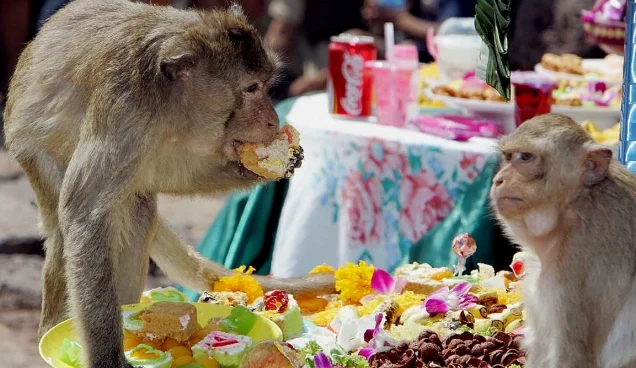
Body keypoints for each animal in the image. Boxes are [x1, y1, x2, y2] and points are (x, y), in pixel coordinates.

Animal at [2, 1, 336, 366]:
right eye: (251, 88)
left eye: (265, 83)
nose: (273, 120)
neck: (170, 102)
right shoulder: (127, 112)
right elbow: (83, 214)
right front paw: (108, 358)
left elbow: (172, 174)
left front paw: (265, 166)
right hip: (32, 153)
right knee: (70, 228)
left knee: (137, 211)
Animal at [490, 112, 636, 368]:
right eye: (508, 157)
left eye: (525, 157)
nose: (498, 179)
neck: (575, 206)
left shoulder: (580, 264)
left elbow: (573, 355)